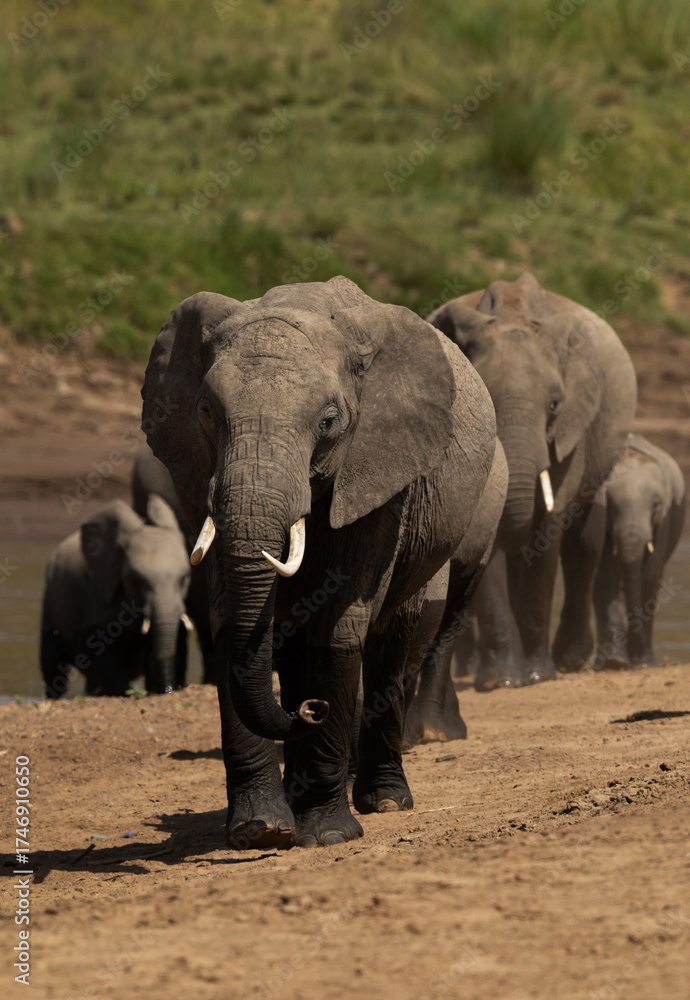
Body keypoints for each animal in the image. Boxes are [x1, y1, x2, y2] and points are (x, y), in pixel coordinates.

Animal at [40, 496, 191, 698]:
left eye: (184, 578)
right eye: (136, 579)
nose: (169, 691)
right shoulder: (95, 589)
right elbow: (92, 643)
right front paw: (127, 693)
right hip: (50, 599)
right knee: (53, 666)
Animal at [141, 275, 500, 848]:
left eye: (329, 421)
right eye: (206, 413)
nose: (309, 712)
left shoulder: (381, 470)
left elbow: (339, 624)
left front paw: (329, 834)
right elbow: (229, 621)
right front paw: (260, 830)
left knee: (393, 646)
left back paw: (385, 799)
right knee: (288, 649)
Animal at [428, 271, 637, 690]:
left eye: (555, 404)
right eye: (484, 399)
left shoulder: (571, 431)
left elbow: (547, 531)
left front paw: (538, 676)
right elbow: (485, 530)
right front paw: (503, 681)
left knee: (584, 542)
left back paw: (571, 660)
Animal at [593, 433, 686, 669]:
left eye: (655, 506)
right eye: (612, 507)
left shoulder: (665, 518)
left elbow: (649, 574)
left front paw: (643, 664)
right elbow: (605, 574)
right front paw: (614, 662)